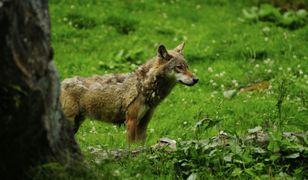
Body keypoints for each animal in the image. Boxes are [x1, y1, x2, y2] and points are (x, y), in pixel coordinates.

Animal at [59, 43, 199, 143]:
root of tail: (61, 83)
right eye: (179, 67)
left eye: (187, 66)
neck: (144, 87)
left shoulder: (144, 123)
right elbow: (131, 146)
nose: (196, 79)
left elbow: (140, 145)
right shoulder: (131, 121)